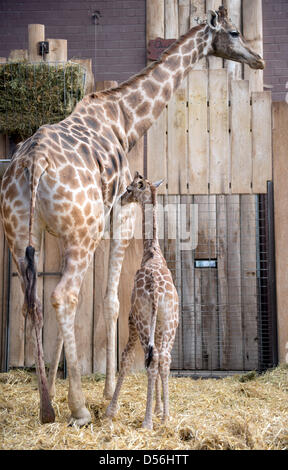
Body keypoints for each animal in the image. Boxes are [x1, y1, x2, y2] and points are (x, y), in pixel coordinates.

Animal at [105, 172, 178, 430]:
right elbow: (158, 362)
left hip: (143, 321)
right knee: (164, 358)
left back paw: (147, 422)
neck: (152, 252)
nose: (122, 199)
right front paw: (159, 409)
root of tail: (156, 292)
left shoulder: (131, 318)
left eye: (129, 188)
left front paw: (110, 410)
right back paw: (165, 417)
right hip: (170, 323)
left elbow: (126, 359)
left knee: (152, 359)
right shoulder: (160, 326)